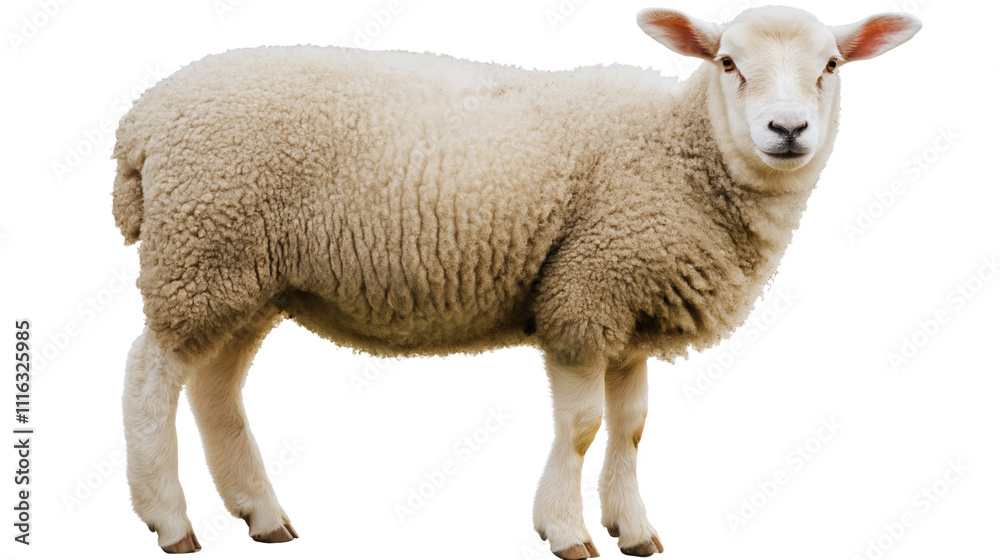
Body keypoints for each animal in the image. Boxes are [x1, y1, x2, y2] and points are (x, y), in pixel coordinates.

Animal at [112, 6, 920, 557]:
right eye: (726, 61)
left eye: (832, 65)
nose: (788, 131)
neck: (681, 152)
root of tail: (143, 119)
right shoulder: (584, 293)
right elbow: (584, 426)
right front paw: (566, 531)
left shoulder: (631, 310)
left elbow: (632, 426)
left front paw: (634, 528)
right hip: (201, 250)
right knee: (150, 377)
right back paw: (170, 520)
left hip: (244, 275)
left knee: (215, 389)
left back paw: (262, 515)